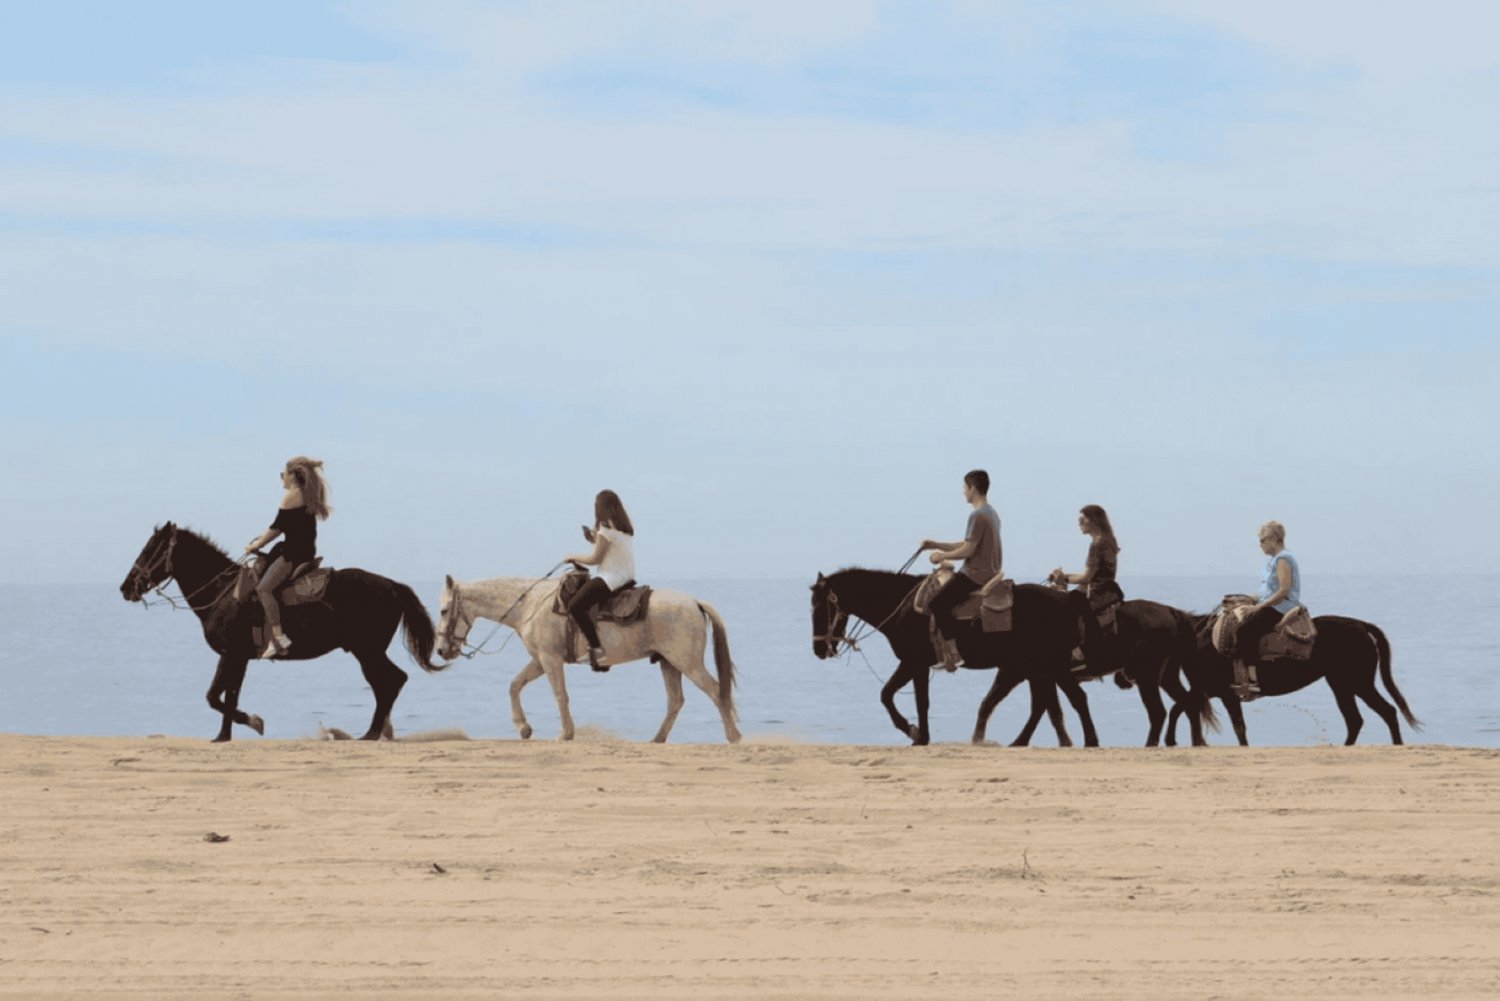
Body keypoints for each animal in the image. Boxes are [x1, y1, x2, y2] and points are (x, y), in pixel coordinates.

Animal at [120, 525, 447, 744]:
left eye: (150, 550)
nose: (126, 588)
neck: (223, 593)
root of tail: (393, 585)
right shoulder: (232, 656)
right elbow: (221, 695)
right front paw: (224, 735)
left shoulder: (236, 655)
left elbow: (222, 696)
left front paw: (252, 722)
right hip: (368, 651)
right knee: (388, 683)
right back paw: (378, 732)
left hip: (367, 651)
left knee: (389, 683)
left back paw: (372, 733)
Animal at [438, 579, 741, 744]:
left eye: (443, 610)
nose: (441, 650)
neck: (531, 605)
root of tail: (695, 602)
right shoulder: (540, 660)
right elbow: (514, 685)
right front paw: (523, 728)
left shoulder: (550, 660)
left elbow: (560, 695)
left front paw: (565, 734)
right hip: (669, 664)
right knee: (676, 701)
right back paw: (657, 738)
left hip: (688, 664)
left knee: (717, 692)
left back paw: (734, 736)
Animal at [816, 567, 1110, 747]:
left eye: (821, 606)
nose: (819, 650)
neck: (902, 606)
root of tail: (1068, 598)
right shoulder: (915, 664)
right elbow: (902, 697)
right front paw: (919, 734)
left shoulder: (913, 662)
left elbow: (899, 697)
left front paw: (915, 732)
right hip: (1040, 667)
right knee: (1048, 703)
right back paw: (1024, 741)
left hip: (1048, 665)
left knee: (1072, 699)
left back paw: (1089, 740)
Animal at [1164, 612, 1422, 744]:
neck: (1206, 641)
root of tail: (1361, 625)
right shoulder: (1209, 690)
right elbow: (1179, 707)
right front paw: (1170, 740)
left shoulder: (1226, 693)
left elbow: (1238, 726)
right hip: (1341, 685)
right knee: (1355, 720)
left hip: (1359, 683)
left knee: (1387, 711)